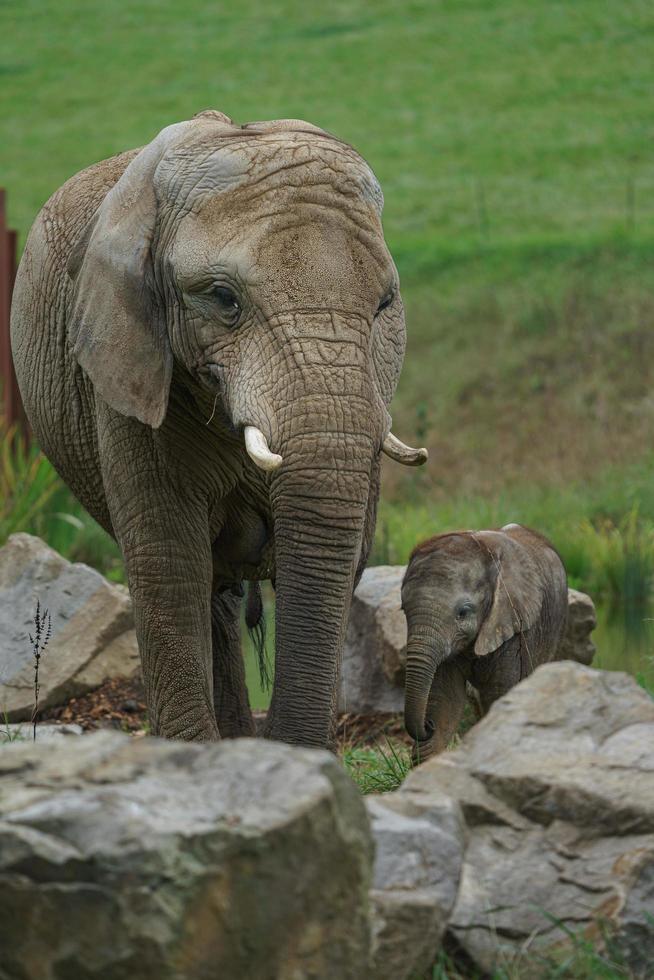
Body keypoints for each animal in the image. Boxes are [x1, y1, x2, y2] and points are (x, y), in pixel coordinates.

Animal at [14, 111, 430, 748]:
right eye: (223, 299)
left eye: (386, 304)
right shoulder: (129, 364)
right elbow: (168, 558)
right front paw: (195, 755)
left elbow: (346, 555)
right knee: (208, 588)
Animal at [400, 528, 568, 756]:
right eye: (403, 610)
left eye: (463, 613)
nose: (428, 725)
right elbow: (445, 701)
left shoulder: (515, 629)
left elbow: (499, 696)